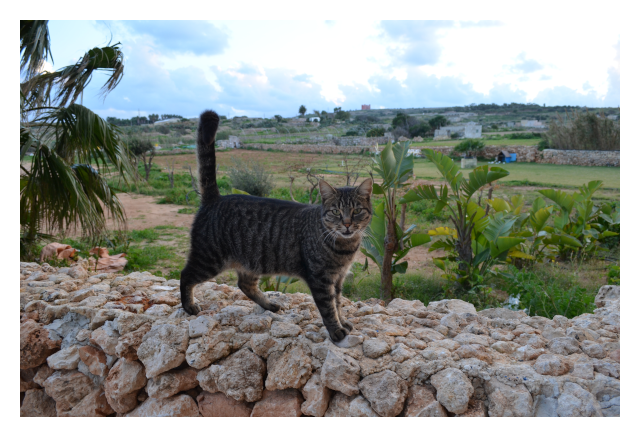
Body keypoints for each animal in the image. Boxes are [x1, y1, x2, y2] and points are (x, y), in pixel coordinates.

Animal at [179, 110, 376, 344]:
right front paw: (336, 330)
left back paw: (269, 304)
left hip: (252, 260)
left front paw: (343, 321)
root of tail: (215, 199)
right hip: (209, 259)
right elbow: (328, 307)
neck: (344, 247)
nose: (347, 224)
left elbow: (338, 303)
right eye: (336, 212)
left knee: (245, 284)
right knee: (185, 275)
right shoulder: (320, 279)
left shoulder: (338, 278)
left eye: (356, 211)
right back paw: (189, 305)